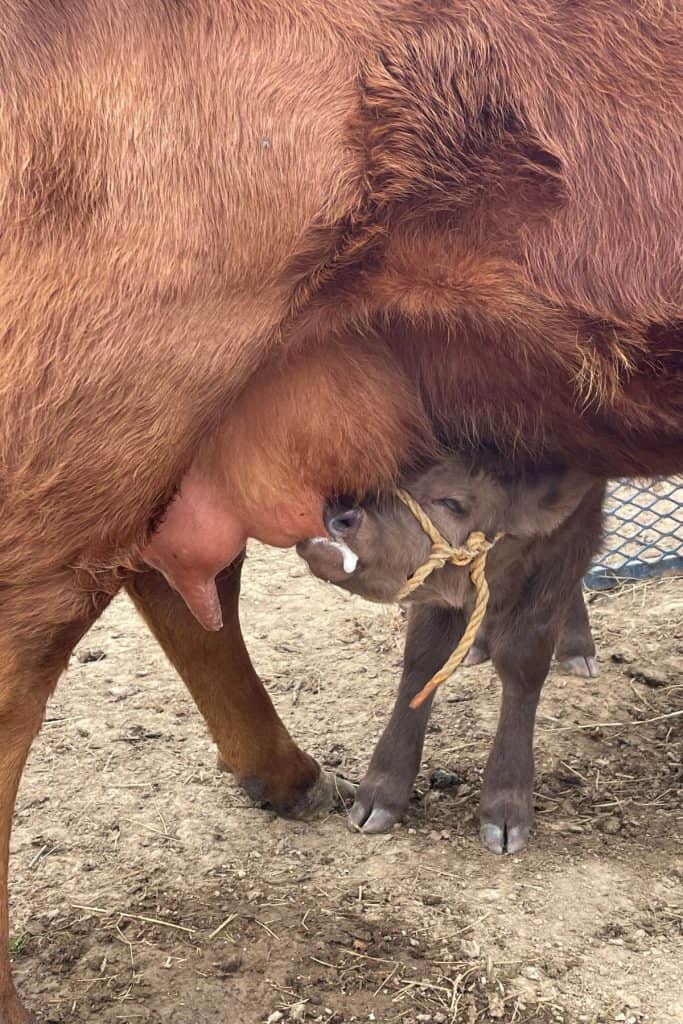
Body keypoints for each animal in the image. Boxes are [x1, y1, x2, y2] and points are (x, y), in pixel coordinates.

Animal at [297, 449, 606, 853]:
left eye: (453, 502)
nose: (341, 516)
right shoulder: (437, 582)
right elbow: (424, 657)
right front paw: (379, 795)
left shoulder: (576, 523)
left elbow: (523, 659)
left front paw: (506, 808)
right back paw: (479, 642)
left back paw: (577, 649)